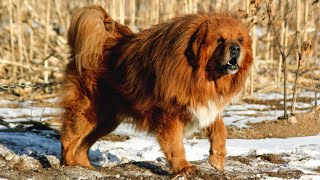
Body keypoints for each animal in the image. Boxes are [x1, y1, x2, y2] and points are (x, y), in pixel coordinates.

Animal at [60, 4, 252, 175]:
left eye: (240, 39)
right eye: (219, 39)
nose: (236, 48)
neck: (199, 75)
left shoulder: (204, 104)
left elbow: (220, 130)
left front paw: (217, 159)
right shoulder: (169, 115)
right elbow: (176, 146)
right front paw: (184, 168)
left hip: (106, 120)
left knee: (82, 145)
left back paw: (85, 166)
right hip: (88, 111)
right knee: (68, 139)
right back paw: (70, 164)